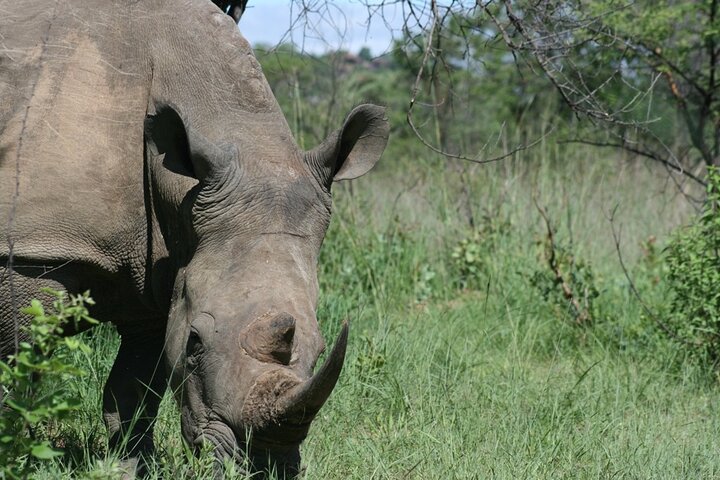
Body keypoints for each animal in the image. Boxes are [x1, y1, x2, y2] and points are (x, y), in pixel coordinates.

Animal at [0, 0, 388, 476]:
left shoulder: (158, 270)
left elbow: (133, 391)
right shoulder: (33, 249)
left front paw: (131, 468)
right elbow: (19, 372)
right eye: (196, 343)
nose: (262, 467)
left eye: (318, 349)